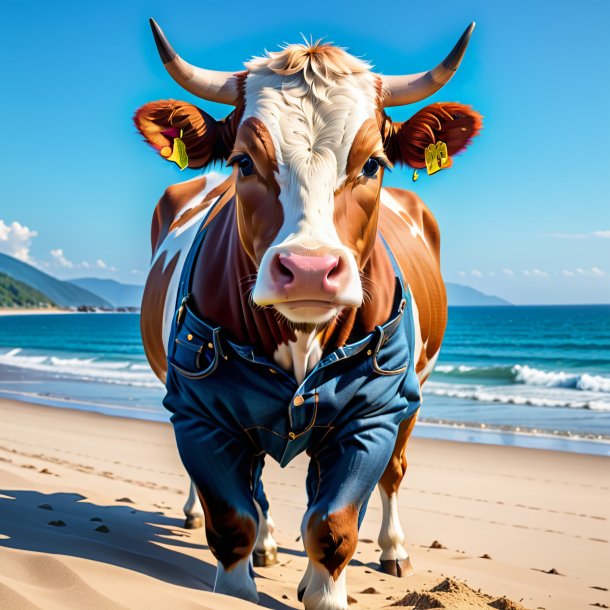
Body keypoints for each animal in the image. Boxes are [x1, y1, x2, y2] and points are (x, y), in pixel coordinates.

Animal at [137, 19, 480, 608]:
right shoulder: (203, 412)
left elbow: (333, 523)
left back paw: (392, 550)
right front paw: (242, 576)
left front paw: (324, 589)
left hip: (411, 397)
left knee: (392, 474)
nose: (310, 269)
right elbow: (233, 519)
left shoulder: (371, 414)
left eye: (372, 163)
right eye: (243, 162)